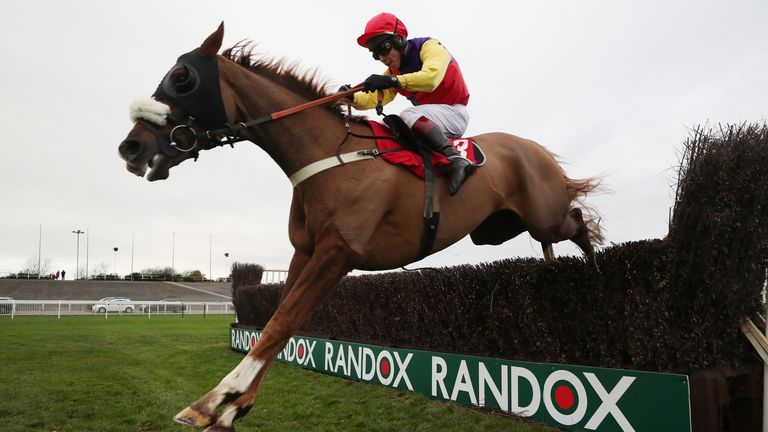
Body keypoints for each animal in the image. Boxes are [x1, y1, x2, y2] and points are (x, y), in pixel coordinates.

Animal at [117, 24, 604, 432]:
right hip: (498, 228)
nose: (131, 147)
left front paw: (214, 401)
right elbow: (279, 322)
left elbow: (281, 322)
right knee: (558, 233)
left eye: (182, 78)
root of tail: (533, 147)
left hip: (543, 213)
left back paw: (596, 270)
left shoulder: (338, 253)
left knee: (580, 223)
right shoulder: (306, 251)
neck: (327, 156)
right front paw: (234, 408)